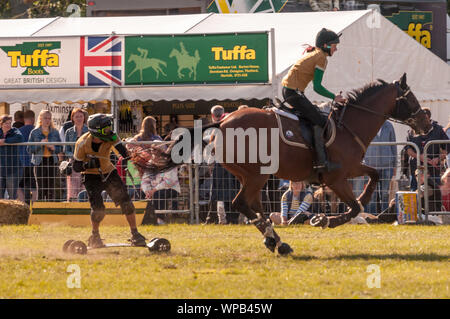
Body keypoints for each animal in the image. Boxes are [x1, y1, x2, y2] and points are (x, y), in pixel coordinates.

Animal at [149, 74, 426, 256]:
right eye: (411, 98)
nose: (424, 122)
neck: (349, 126)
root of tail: (223, 122)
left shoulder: (352, 168)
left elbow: (374, 176)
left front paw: (358, 207)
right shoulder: (336, 178)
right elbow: (355, 206)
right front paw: (329, 220)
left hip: (250, 176)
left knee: (254, 206)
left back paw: (275, 241)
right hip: (257, 175)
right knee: (241, 203)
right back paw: (276, 241)